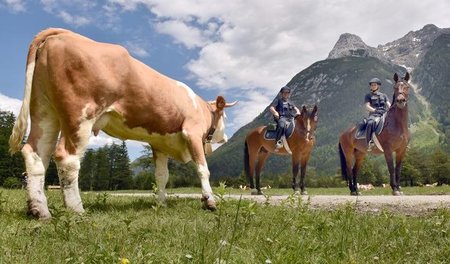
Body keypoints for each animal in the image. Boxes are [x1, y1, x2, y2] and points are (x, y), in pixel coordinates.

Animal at [9, 27, 236, 220]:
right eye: (224, 117)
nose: (226, 137)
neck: (200, 108)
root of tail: (64, 33)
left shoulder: (160, 145)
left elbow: (162, 176)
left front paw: (161, 204)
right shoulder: (192, 133)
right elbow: (203, 169)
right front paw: (209, 201)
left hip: (44, 111)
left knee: (35, 154)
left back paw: (39, 210)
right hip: (80, 115)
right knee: (67, 158)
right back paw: (77, 210)